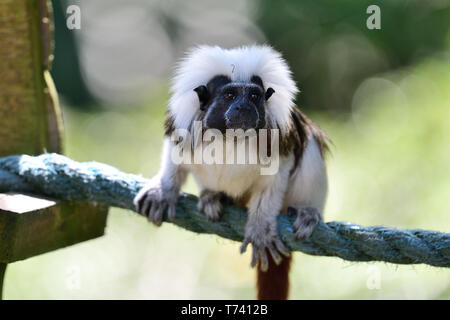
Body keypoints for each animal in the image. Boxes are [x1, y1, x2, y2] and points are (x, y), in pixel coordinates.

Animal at [132, 45, 328, 300]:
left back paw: (307, 211)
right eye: (230, 96)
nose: (244, 108)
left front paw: (260, 226)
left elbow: (275, 177)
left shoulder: (278, 134)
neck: (231, 136)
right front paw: (163, 191)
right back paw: (214, 197)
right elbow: (175, 153)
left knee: (310, 143)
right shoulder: (187, 125)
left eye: (254, 96)